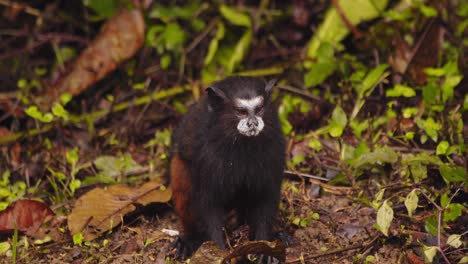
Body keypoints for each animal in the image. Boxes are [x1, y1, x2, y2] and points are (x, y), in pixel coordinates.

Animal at [168, 75, 286, 258]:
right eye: (241, 111)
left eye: (259, 109)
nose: (253, 123)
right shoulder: (206, 158)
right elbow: (207, 203)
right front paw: (217, 250)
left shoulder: (275, 149)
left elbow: (266, 195)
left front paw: (264, 248)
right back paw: (189, 239)